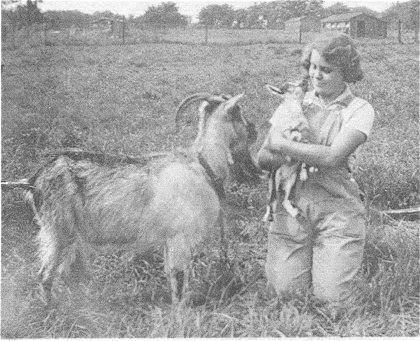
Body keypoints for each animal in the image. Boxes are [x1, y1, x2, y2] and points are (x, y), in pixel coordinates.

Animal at [9, 92, 260, 302]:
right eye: (238, 114)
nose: (255, 129)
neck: (203, 165)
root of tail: (34, 180)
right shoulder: (180, 236)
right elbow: (179, 278)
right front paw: (181, 314)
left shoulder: (170, 239)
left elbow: (172, 275)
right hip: (59, 232)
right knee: (45, 275)